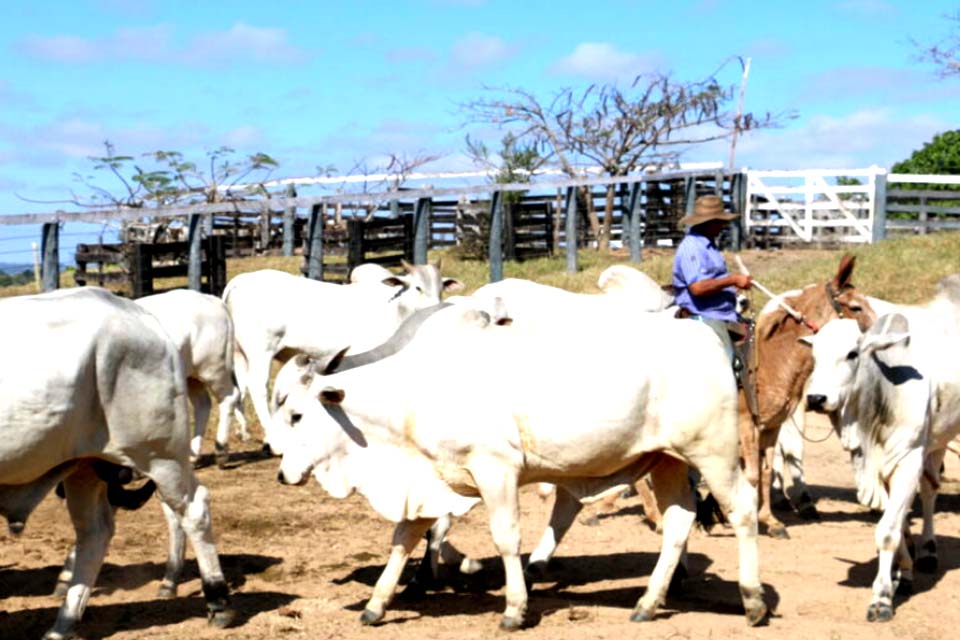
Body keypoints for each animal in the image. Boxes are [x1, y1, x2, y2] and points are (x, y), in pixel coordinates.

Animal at [0, 288, 232, 640]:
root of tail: (142, 316)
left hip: (159, 455)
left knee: (193, 510)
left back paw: (217, 599)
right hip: (85, 467)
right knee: (94, 534)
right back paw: (64, 623)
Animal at [136, 288, 249, 464]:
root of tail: (213, 300)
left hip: (213, 369)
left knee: (229, 397)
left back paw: (221, 448)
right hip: (191, 377)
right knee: (202, 404)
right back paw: (193, 454)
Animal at [225, 262, 464, 452]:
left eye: (441, 287)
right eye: (418, 287)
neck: (397, 309)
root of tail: (241, 280)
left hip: (239, 353)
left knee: (240, 387)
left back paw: (243, 432)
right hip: (260, 352)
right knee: (257, 387)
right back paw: (271, 438)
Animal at [276, 300, 764, 632]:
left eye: (296, 414)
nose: (282, 474)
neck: (412, 390)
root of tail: (710, 338)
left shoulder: (497, 471)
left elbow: (506, 539)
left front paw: (514, 608)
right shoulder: (430, 481)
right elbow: (403, 539)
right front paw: (377, 605)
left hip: (713, 452)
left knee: (742, 509)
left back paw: (753, 600)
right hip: (666, 460)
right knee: (679, 520)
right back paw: (648, 602)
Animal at [804, 276, 960, 620]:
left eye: (852, 354)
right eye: (814, 356)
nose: (816, 398)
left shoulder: (909, 459)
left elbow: (887, 531)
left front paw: (881, 598)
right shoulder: (874, 465)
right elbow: (897, 525)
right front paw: (903, 573)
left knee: (930, 491)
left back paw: (929, 551)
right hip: (935, 440)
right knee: (930, 488)